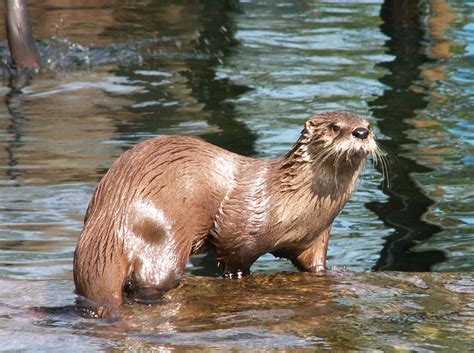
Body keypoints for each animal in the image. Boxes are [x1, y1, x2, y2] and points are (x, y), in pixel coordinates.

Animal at [73, 111, 378, 310]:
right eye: (335, 126)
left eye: (368, 124)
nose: (361, 132)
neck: (296, 205)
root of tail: (112, 217)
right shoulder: (240, 230)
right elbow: (234, 262)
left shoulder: (315, 237)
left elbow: (316, 266)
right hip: (164, 230)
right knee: (150, 281)